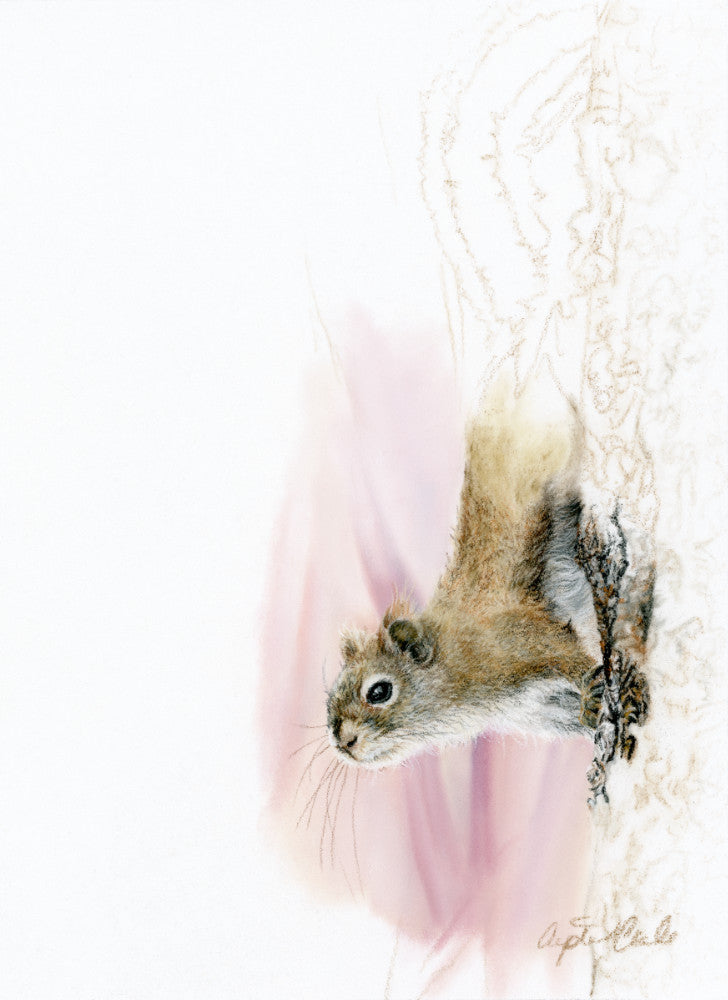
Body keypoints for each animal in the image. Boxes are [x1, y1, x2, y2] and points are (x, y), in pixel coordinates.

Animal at [326, 384, 651, 793]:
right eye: (330, 698)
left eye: (379, 691)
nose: (343, 743)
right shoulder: (540, 710)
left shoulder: (524, 642)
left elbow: (573, 658)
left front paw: (595, 694)